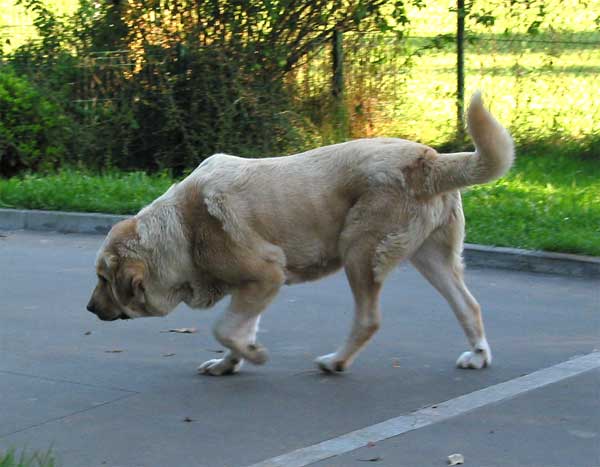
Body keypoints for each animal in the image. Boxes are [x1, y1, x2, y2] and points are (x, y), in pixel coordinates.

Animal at [86, 94, 512, 376]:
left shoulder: (267, 274)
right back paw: (477, 355)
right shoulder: (253, 287)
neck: (183, 230)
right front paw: (231, 362)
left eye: (104, 279)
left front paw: (254, 355)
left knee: (369, 320)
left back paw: (335, 362)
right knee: (468, 306)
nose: (89, 308)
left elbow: (224, 328)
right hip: (430, 259)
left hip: (359, 253)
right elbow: (237, 328)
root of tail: (430, 159)